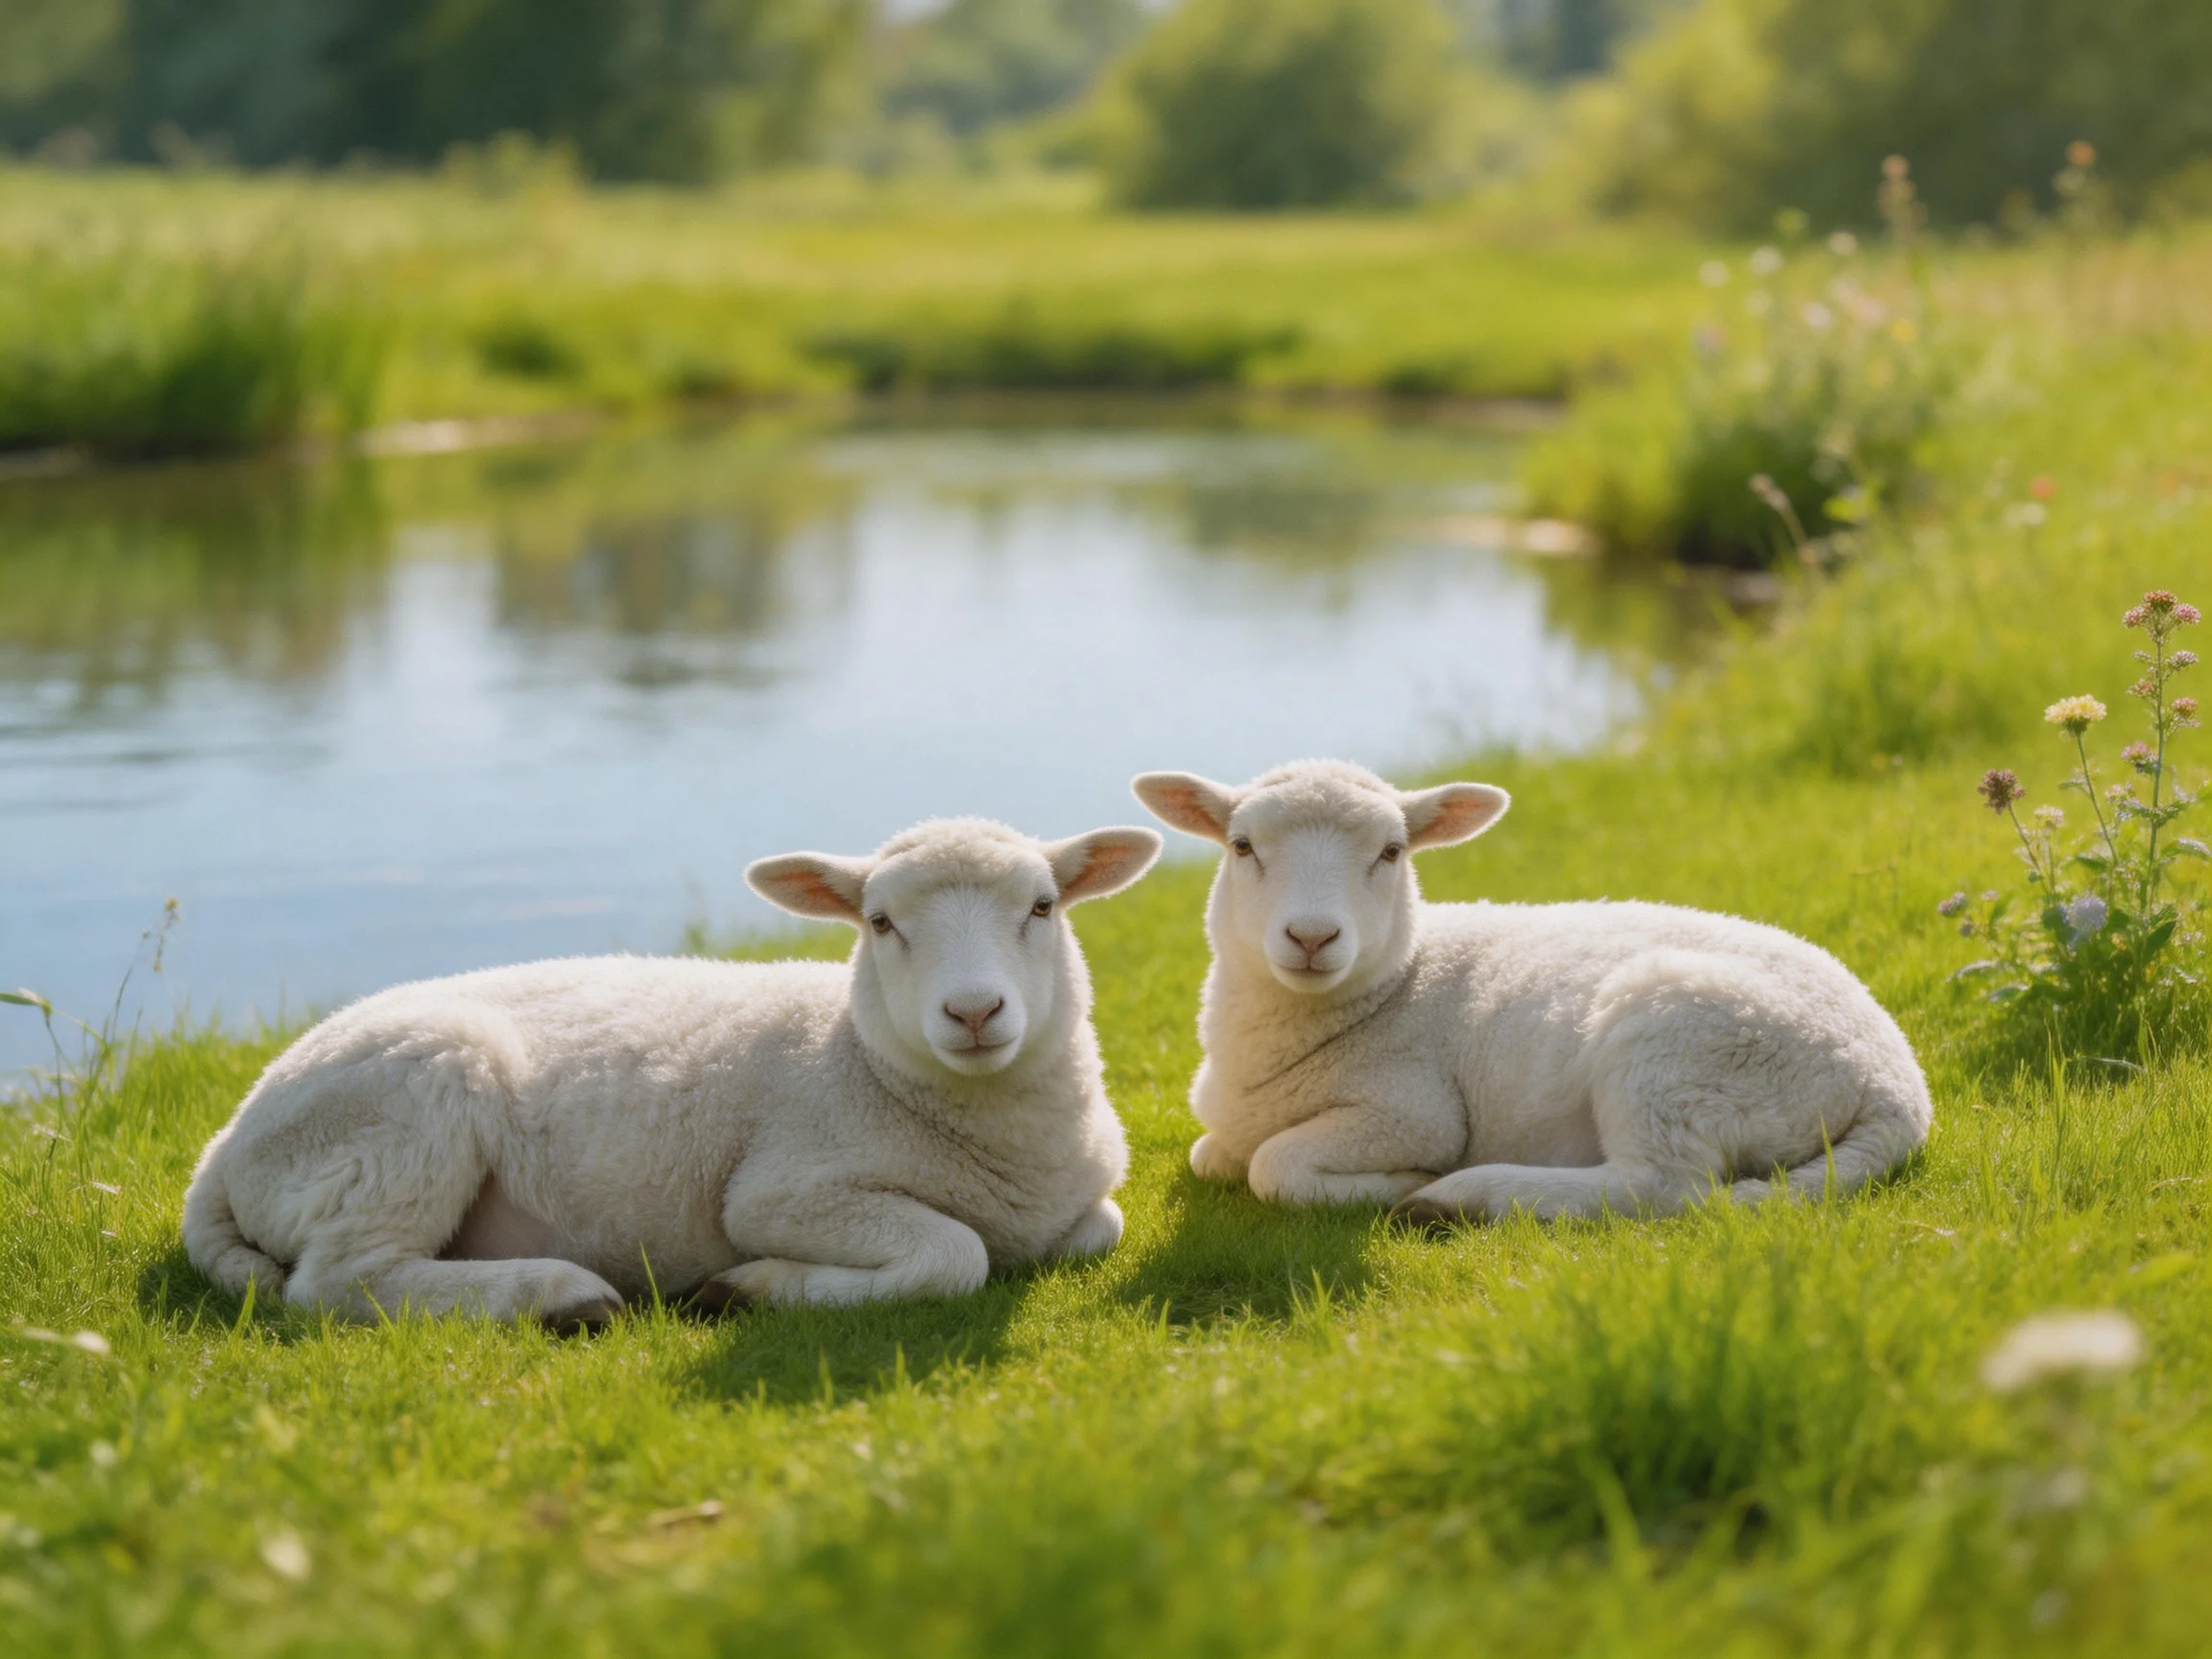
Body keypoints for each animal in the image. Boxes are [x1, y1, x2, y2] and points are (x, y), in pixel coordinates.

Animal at [180, 817, 1162, 1327]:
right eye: (880, 923)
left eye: (1043, 906)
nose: (973, 1012)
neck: (855, 1060)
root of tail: (221, 1149)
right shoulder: (785, 1191)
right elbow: (956, 1255)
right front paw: (743, 1289)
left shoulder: (1082, 1208)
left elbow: (1099, 1229)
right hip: (401, 1118)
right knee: (339, 1281)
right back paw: (560, 1294)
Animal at [1131, 760, 1930, 1222]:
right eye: (1242, 847)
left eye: (1392, 852)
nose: (1311, 937)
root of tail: (1899, 1088)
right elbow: (1212, 1155)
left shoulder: (1411, 1110)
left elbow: (1274, 1168)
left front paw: (1398, 1183)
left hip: (1678, 1045)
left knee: (1660, 1187)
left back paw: (1457, 1197)